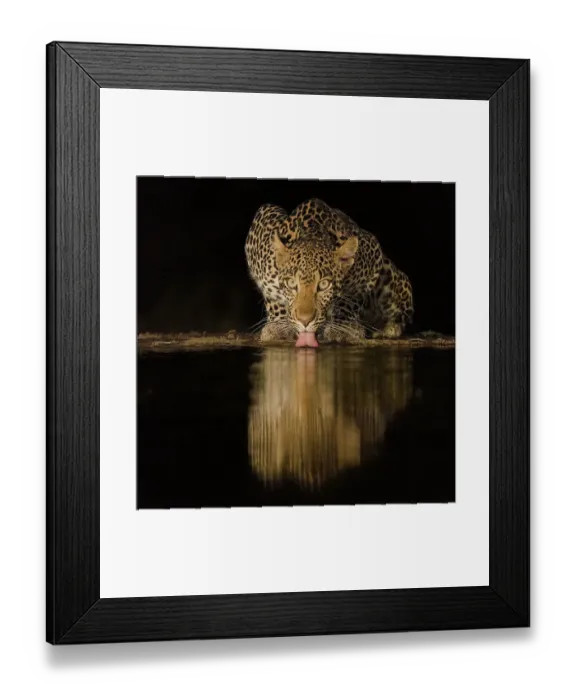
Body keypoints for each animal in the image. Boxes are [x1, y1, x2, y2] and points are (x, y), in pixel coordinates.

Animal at [244, 197, 414, 346]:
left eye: (324, 285)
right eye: (291, 283)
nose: (304, 321)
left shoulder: (372, 254)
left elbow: (351, 298)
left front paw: (344, 328)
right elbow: (273, 297)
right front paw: (279, 326)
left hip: (392, 280)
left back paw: (388, 328)